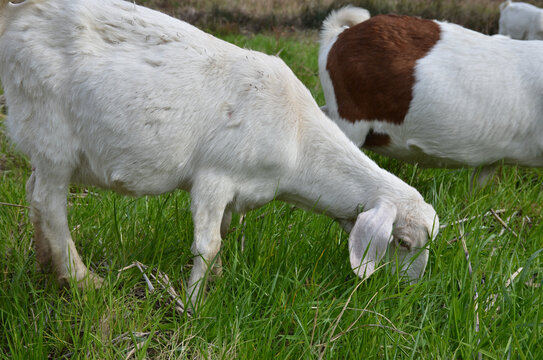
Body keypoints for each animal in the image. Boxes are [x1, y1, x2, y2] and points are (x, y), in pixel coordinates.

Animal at [0, 0, 440, 306]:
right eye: (403, 242)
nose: (408, 291)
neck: (299, 138)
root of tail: (21, 12)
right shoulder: (214, 177)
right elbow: (207, 245)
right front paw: (191, 306)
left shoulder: (238, 192)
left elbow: (223, 236)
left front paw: (216, 282)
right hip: (51, 129)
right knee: (48, 204)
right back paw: (83, 281)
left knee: (33, 193)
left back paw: (47, 268)